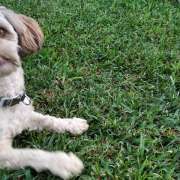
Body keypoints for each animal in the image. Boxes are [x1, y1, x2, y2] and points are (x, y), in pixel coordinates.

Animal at [0, 5, 88, 180]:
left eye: (0, 30)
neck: (7, 100)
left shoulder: (25, 116)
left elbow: (48, 120)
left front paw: (73, 124)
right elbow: (30, 153)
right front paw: (64, 163)